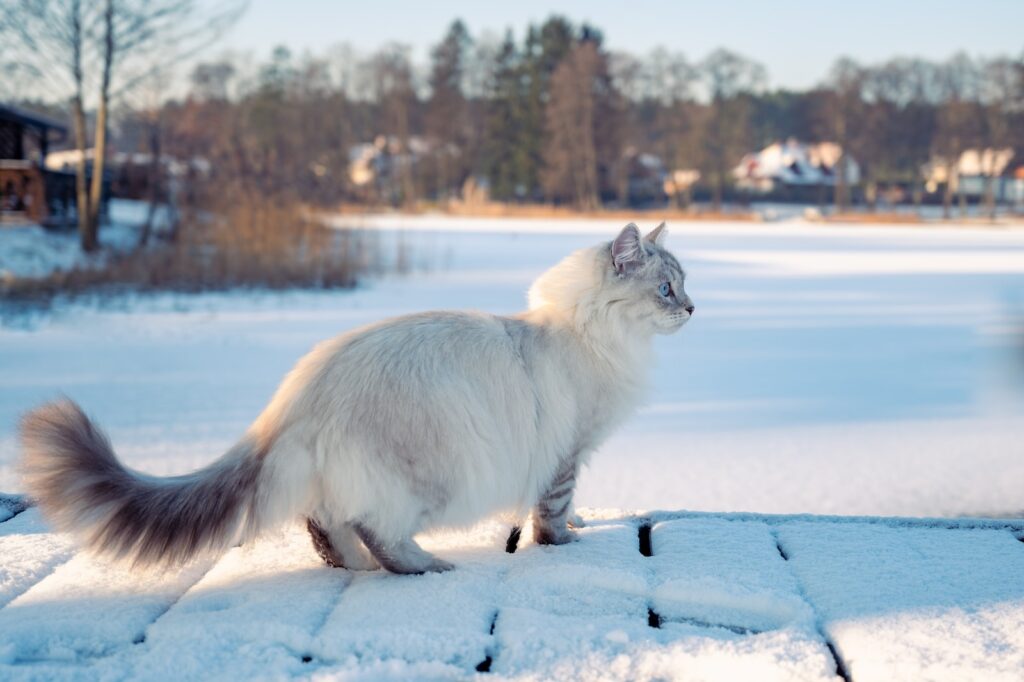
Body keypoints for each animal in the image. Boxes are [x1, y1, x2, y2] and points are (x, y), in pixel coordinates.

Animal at [19, 220, 696, 569]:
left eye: (683, 286)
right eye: (666, 290)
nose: (692, 309)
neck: (586, 332)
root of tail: (292, 397)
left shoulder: (570, 454)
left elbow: (563, 503)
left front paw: (578, 523)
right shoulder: (567, 450)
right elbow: (551, 512)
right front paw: (566, 541)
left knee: (326, 527)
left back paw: (350, 565)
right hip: (431, 475)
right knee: (378, 532)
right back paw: (424, 565)